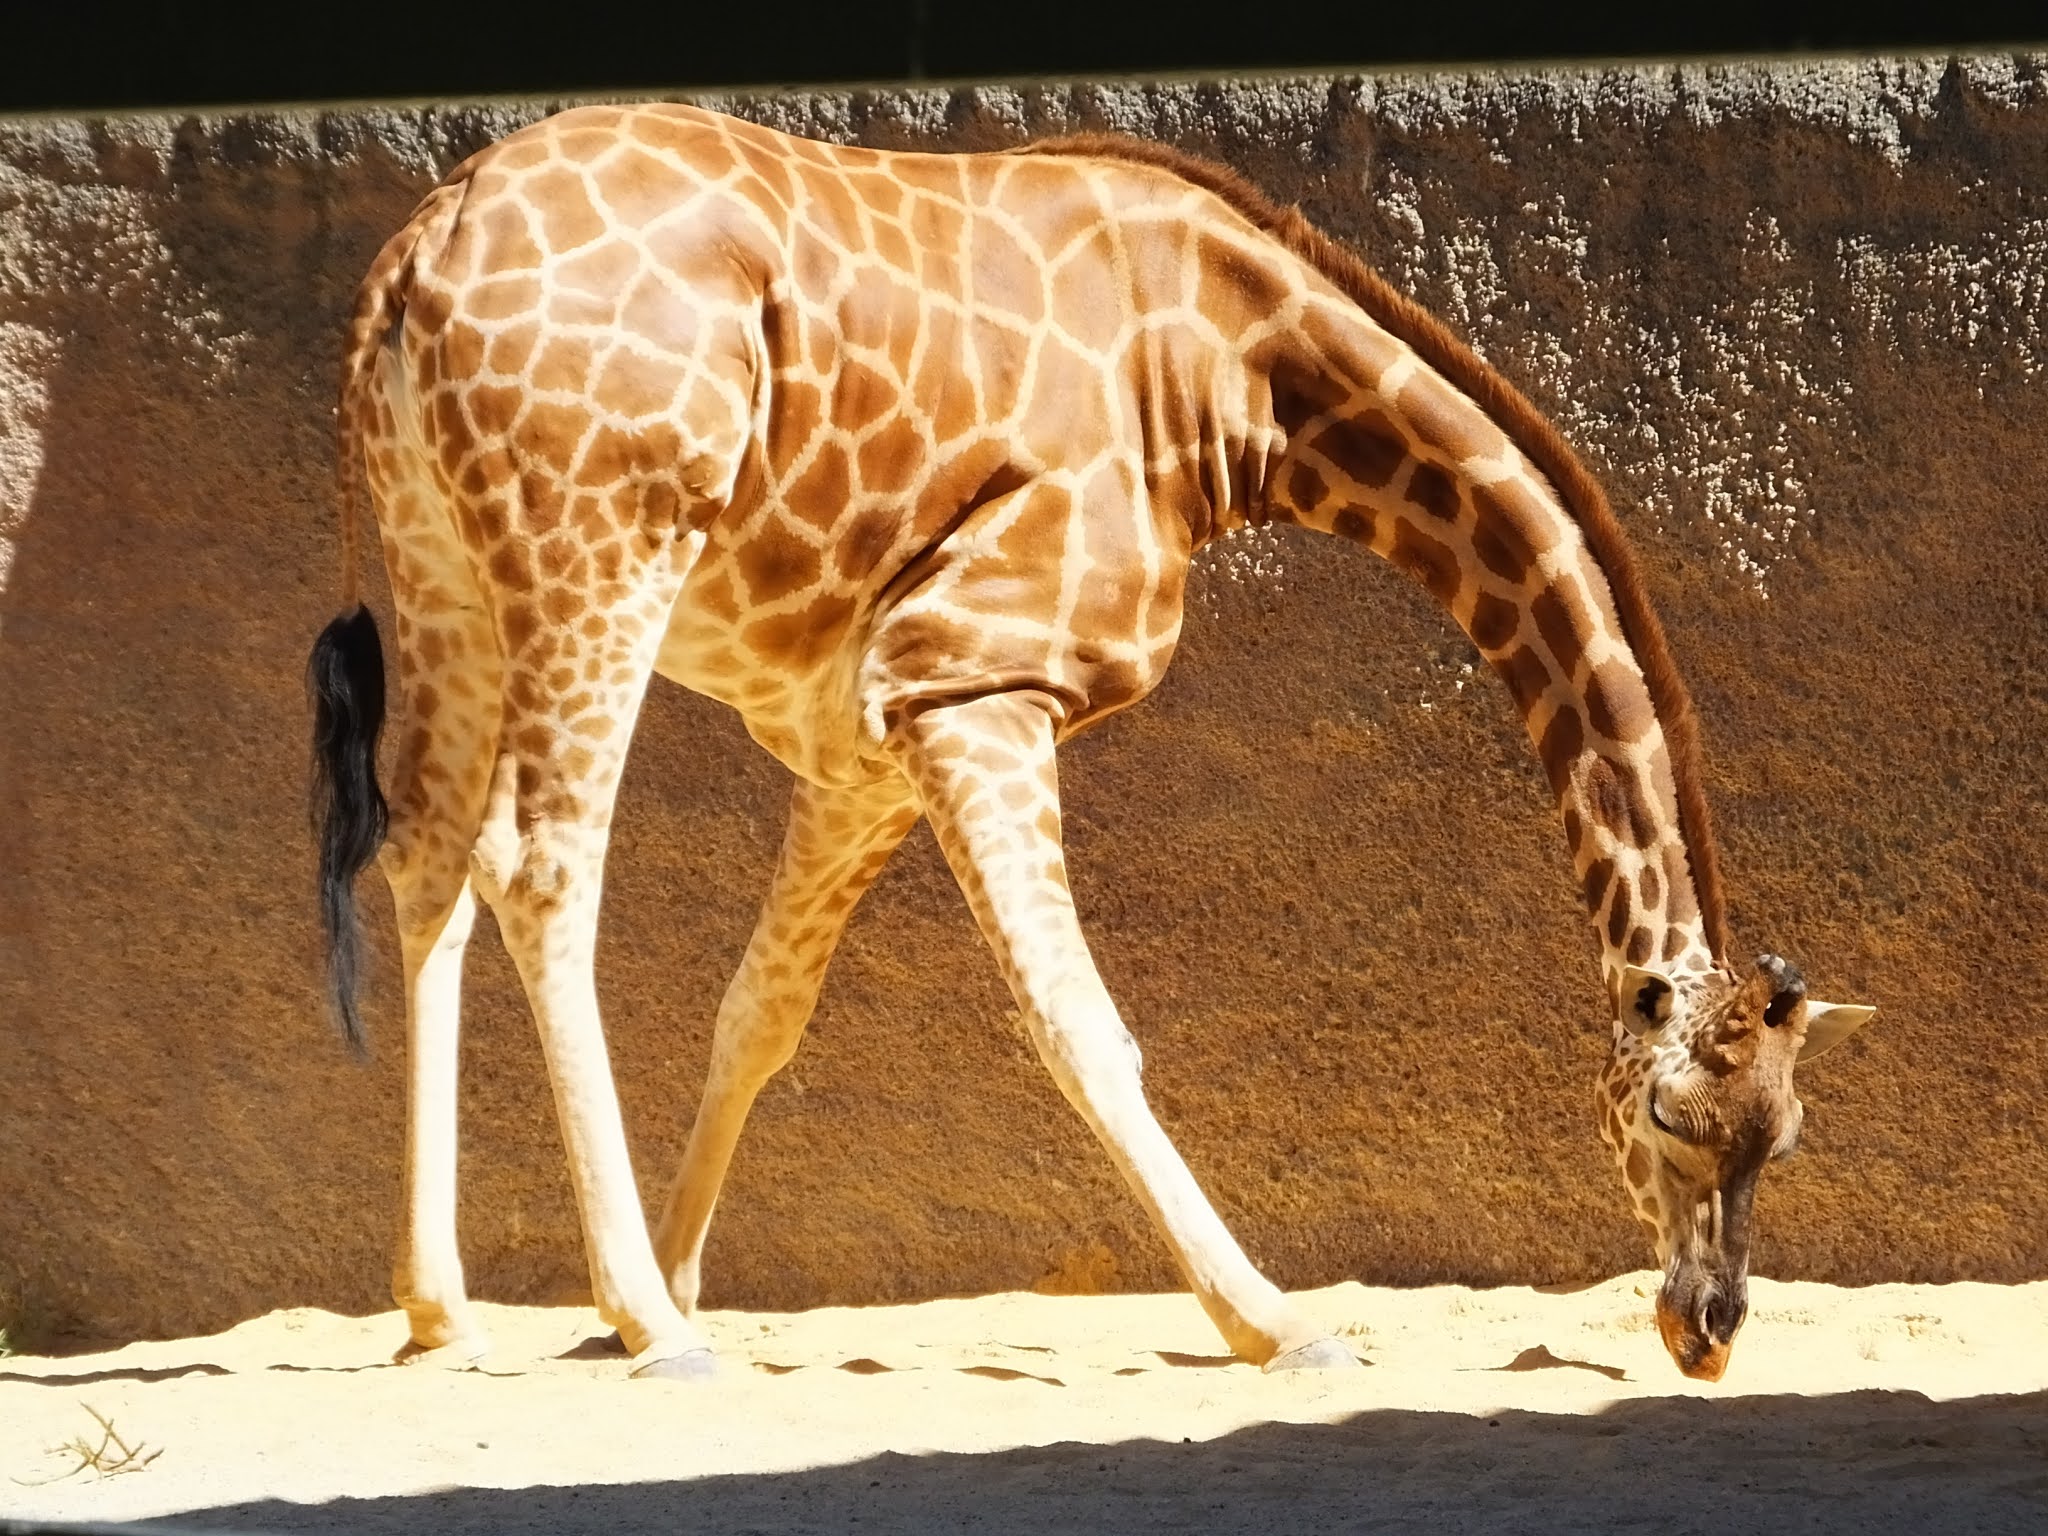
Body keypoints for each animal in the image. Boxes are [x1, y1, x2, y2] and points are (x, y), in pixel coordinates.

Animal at [306, 102, 1875, 1383]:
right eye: (1668, 1118)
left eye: (1785, 1136)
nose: (1707, 1332)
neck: (1230, 388)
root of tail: (421, 253)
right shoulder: (973, 676)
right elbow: (1079, 1019)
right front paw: (1278, 1323)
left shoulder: (863, 743)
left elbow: (760, 1012)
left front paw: (667, 1285)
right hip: (604, 540)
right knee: (540, 862)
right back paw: (640, 1325)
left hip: (447, 560)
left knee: (428, 851)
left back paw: (448, 1310)